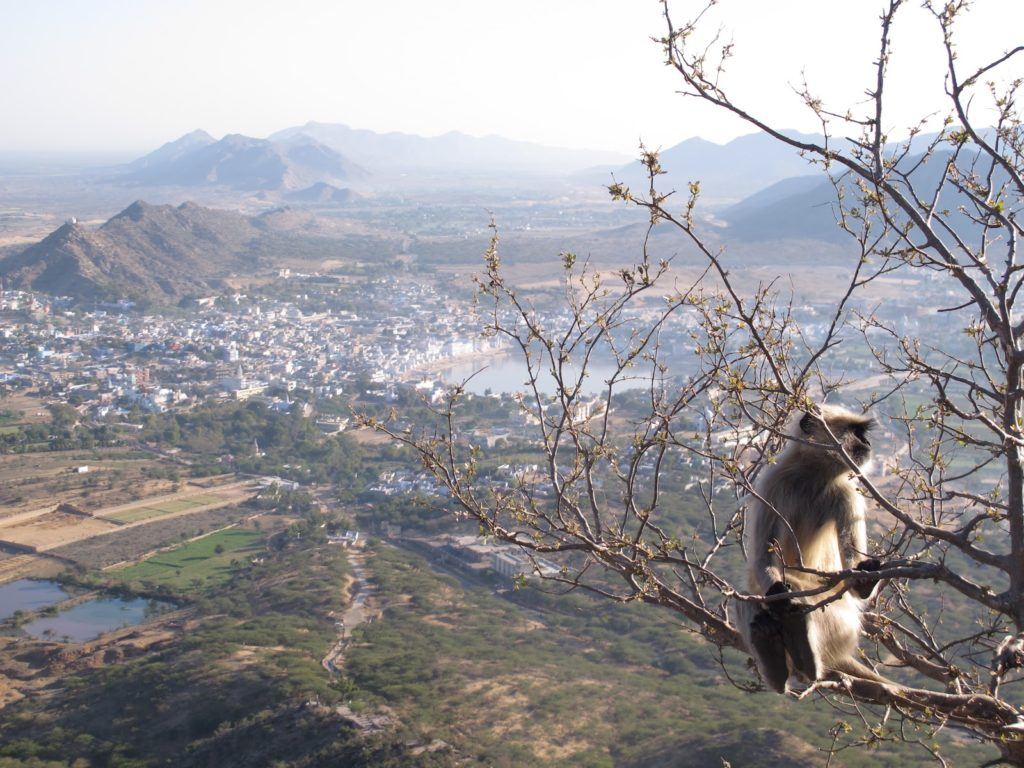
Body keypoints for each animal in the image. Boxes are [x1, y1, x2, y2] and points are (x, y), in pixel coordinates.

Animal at [737, 405, 888, 696]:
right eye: (856, 432)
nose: (868, 443)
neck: (813, 474)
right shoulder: (773, 481)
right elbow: (762, 557)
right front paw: (777, 594)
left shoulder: (848, 493)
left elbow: (855, 577)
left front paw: (865, 578)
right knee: (746, 597)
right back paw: (772, 651)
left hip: (842, 625)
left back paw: (806, 659)